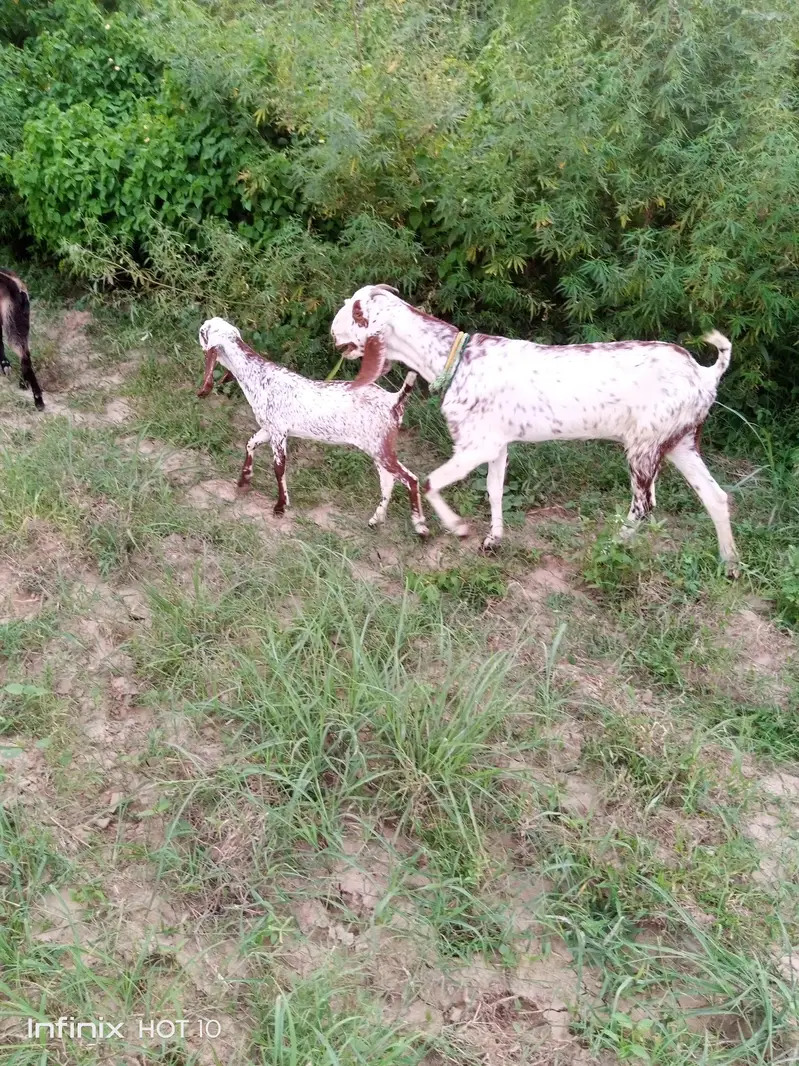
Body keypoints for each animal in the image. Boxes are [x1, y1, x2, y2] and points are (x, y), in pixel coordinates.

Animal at [0, 268, 44, 410]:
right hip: (20, 324)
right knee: (26, 355)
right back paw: (23, 384)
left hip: (12, 326)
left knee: (24, 356)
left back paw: (38, 400)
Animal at [198, 317, 428, 534]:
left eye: (203, 332)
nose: (197, 334)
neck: (259, 377)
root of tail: (394, 400)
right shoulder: (269, 428)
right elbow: (250, 443)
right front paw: (244, 480)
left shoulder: (279, 432)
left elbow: (278, 468)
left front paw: (280, 506)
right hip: (379, 448)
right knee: (388, 481)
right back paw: (376, 520)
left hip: (380, 447)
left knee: (411, 479)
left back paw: (420, 527)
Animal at [330, 285, 740, 576]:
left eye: (349, 314)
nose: (331, 335)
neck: (456, 359)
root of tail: (704, 374)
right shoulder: (497, 446)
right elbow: (494, 491)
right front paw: (493, 539)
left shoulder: (475, 446)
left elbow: (431, 482)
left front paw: (458, 528)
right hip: (681, 443)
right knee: (716, 497)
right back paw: (730, 564)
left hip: (644, 446)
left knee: (644, 506)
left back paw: (611, 548)